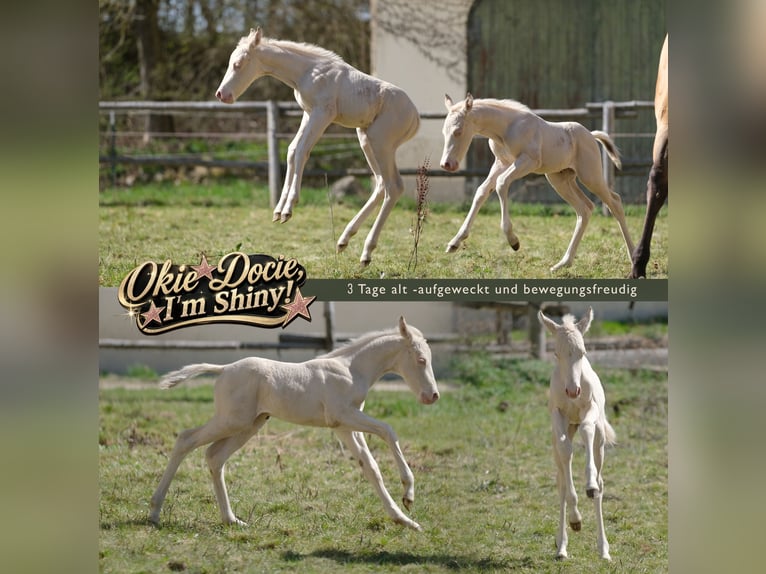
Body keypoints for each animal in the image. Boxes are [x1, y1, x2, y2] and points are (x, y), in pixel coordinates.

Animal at [148, 316, 440, 531]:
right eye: (421, 360)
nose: (433, 396)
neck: (351, 369)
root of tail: (224, 368)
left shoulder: (345, 426)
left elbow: (370, 467)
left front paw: (404, 519)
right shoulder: (344, 416)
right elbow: (388, 431)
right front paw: (409, 493)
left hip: (249, 425)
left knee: (214, 456)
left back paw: (231, 520)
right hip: (231, 420)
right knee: (186, 439)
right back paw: (154, 511)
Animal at [215, 28, 420, 266]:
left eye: (238, 64)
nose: (221, 94)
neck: (307, 72)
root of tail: (415, 117)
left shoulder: (323, 114)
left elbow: (302, 151)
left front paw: (288, 209)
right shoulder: (308, 113)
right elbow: (292, 151)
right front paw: (278, 210)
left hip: (381, 142)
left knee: (394, 186)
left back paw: (366, 252)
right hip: (366, 139)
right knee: (381, 184)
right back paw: (344, 240)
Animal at [440, 94, 635, 273]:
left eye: (458, 131)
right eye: (444, 132)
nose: (447, 164)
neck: (506, 128)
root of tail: (591, 136)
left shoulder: (528, 161)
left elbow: (501, 184)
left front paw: (513, 241)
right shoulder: (501, 163)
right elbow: (482, 191)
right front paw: (454, 242)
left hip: (590, 176)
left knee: (615, 202)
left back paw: (634, 257)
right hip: (559, 179)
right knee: (584, 209)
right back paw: (563, 263)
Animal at [538, 307, 616, 560]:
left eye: (582, 352)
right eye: (556, 353)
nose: (573, 391)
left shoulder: (589, 409)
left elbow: (587, 429)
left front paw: (589, 484)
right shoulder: (558, 415)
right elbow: (566, 451)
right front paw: (575, 519)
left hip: (600, 443)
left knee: (601, 484)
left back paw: (604, 550)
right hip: (558, 437)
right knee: (561, 480)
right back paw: (561, 547)